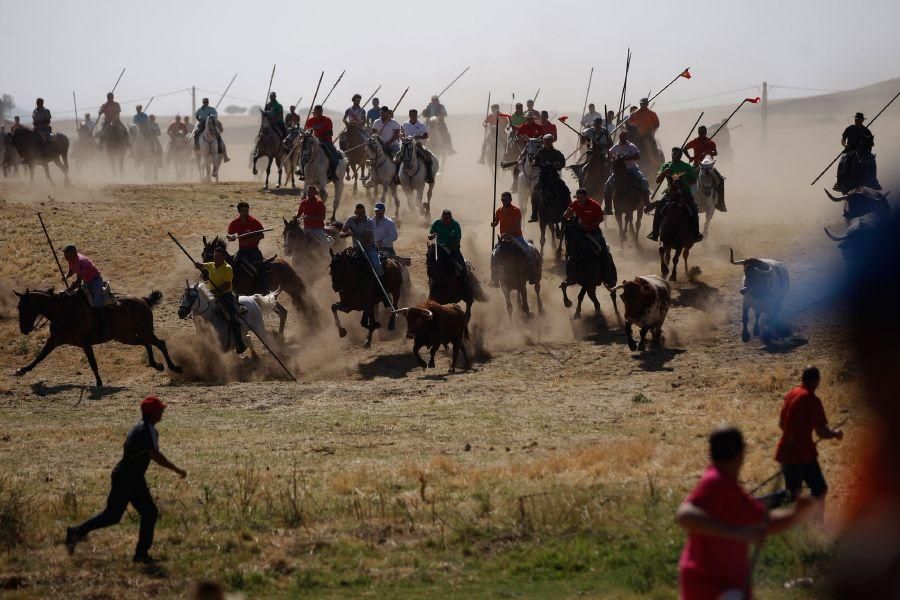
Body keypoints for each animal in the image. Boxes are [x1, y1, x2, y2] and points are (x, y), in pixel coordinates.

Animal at [13, 288, 182, 390]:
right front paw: (23, 370)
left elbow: (92, 362)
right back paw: (156, 365)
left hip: (144, 330)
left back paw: (174, 367)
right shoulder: (54, 340)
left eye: (25, 307)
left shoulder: (85, 343)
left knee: (160, 343)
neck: (63, 313)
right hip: (124, 336)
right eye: (18, 307)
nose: (23, 329)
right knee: (146, 344)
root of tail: (143, 300)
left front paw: (99, 382)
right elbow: (40, 356)